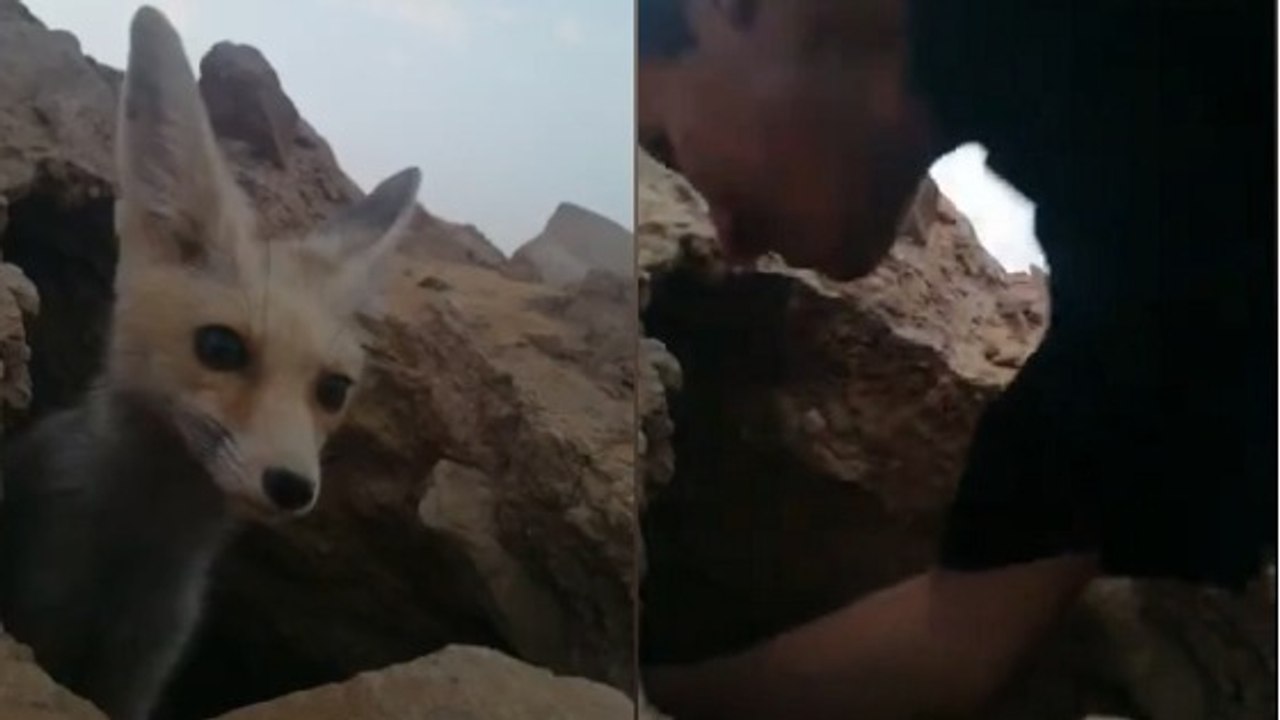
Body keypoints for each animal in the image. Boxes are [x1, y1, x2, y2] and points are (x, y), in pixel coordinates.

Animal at [0, 7, 420, 720]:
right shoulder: (39, 616)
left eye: (334, 389)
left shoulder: (141, 671)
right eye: (221, 348)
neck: (133, 561)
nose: (291, 486)